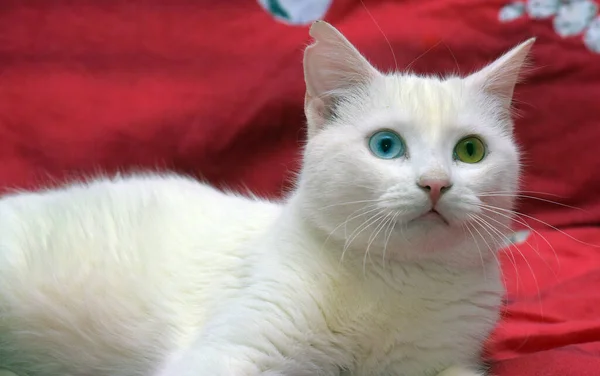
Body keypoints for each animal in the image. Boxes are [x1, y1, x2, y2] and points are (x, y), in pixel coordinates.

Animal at [0, 22, 536, 376]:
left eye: (470, 151)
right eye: (386, 146)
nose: (436, 183)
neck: (397, 280)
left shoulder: (451, 362)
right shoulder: (234, 349)